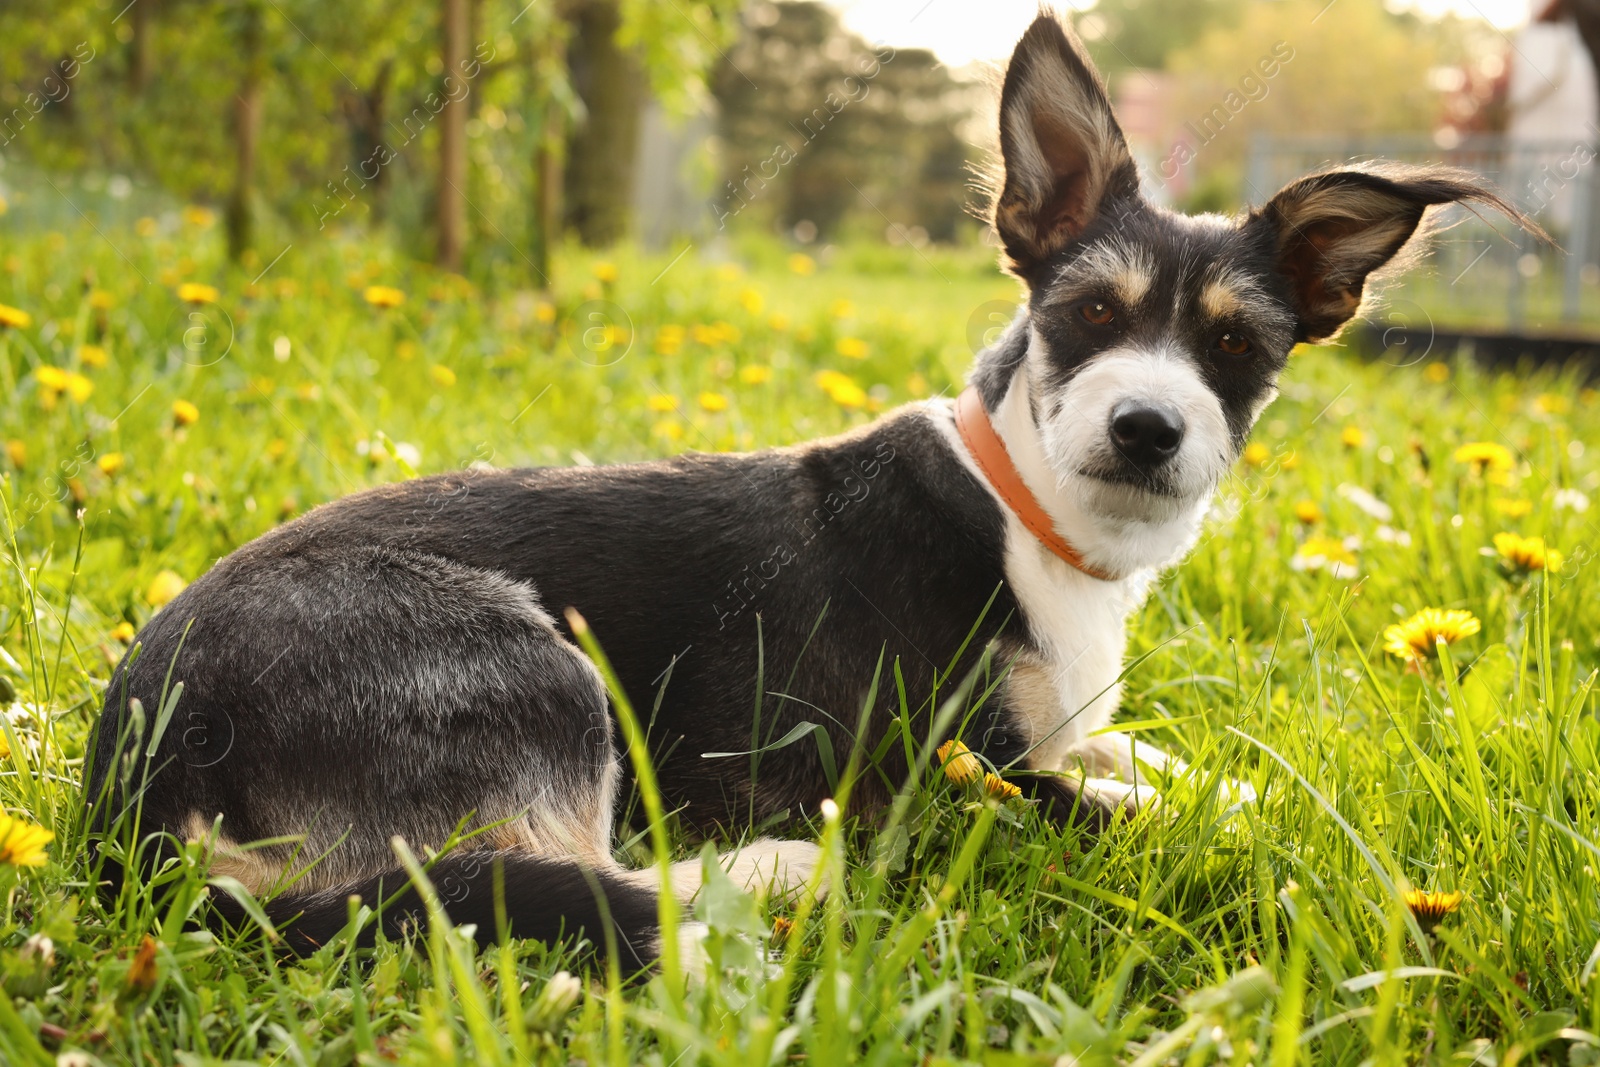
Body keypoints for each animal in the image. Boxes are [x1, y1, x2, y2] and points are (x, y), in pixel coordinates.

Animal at [84, 10, 1523, 966]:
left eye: (1236, 346)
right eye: (1088, 314)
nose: (1148, 425)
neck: (1030, 515)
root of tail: (129, 804)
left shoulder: (1056, 729)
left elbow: (1171, 758)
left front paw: (1254, 783)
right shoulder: (960, 771)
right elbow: (1146, 806)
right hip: (530, 667)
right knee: (522, 883)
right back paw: (770, 868)